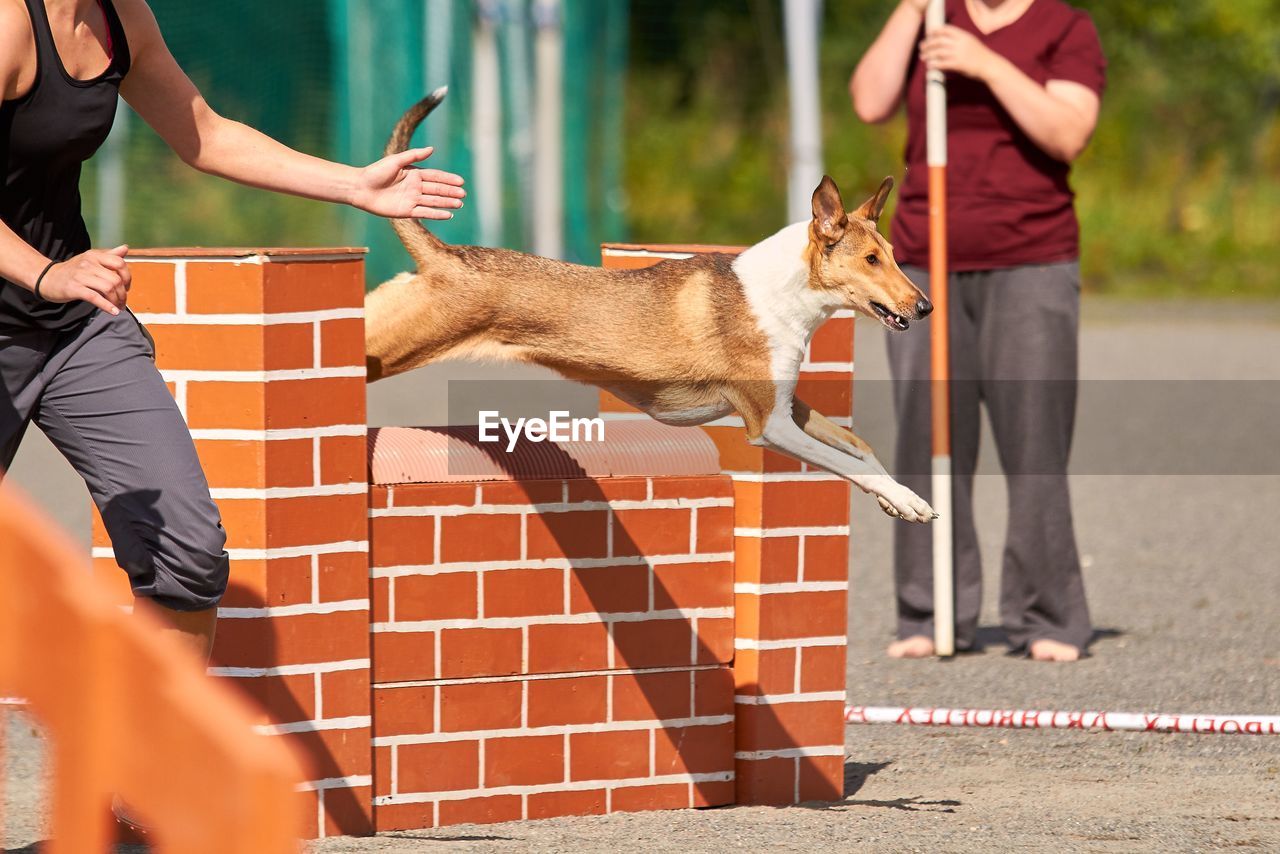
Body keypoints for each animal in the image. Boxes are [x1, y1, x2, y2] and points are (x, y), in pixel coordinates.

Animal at [366, 92, 936, 522]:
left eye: (891, 254)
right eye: (870, 259)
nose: (925, 306)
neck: (784, 293)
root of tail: (445, 256)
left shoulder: (786, 406)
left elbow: (860, 448)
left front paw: (903, 500)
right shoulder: (768, 425)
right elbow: (847, 461)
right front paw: (908, 503)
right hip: (393, 345)